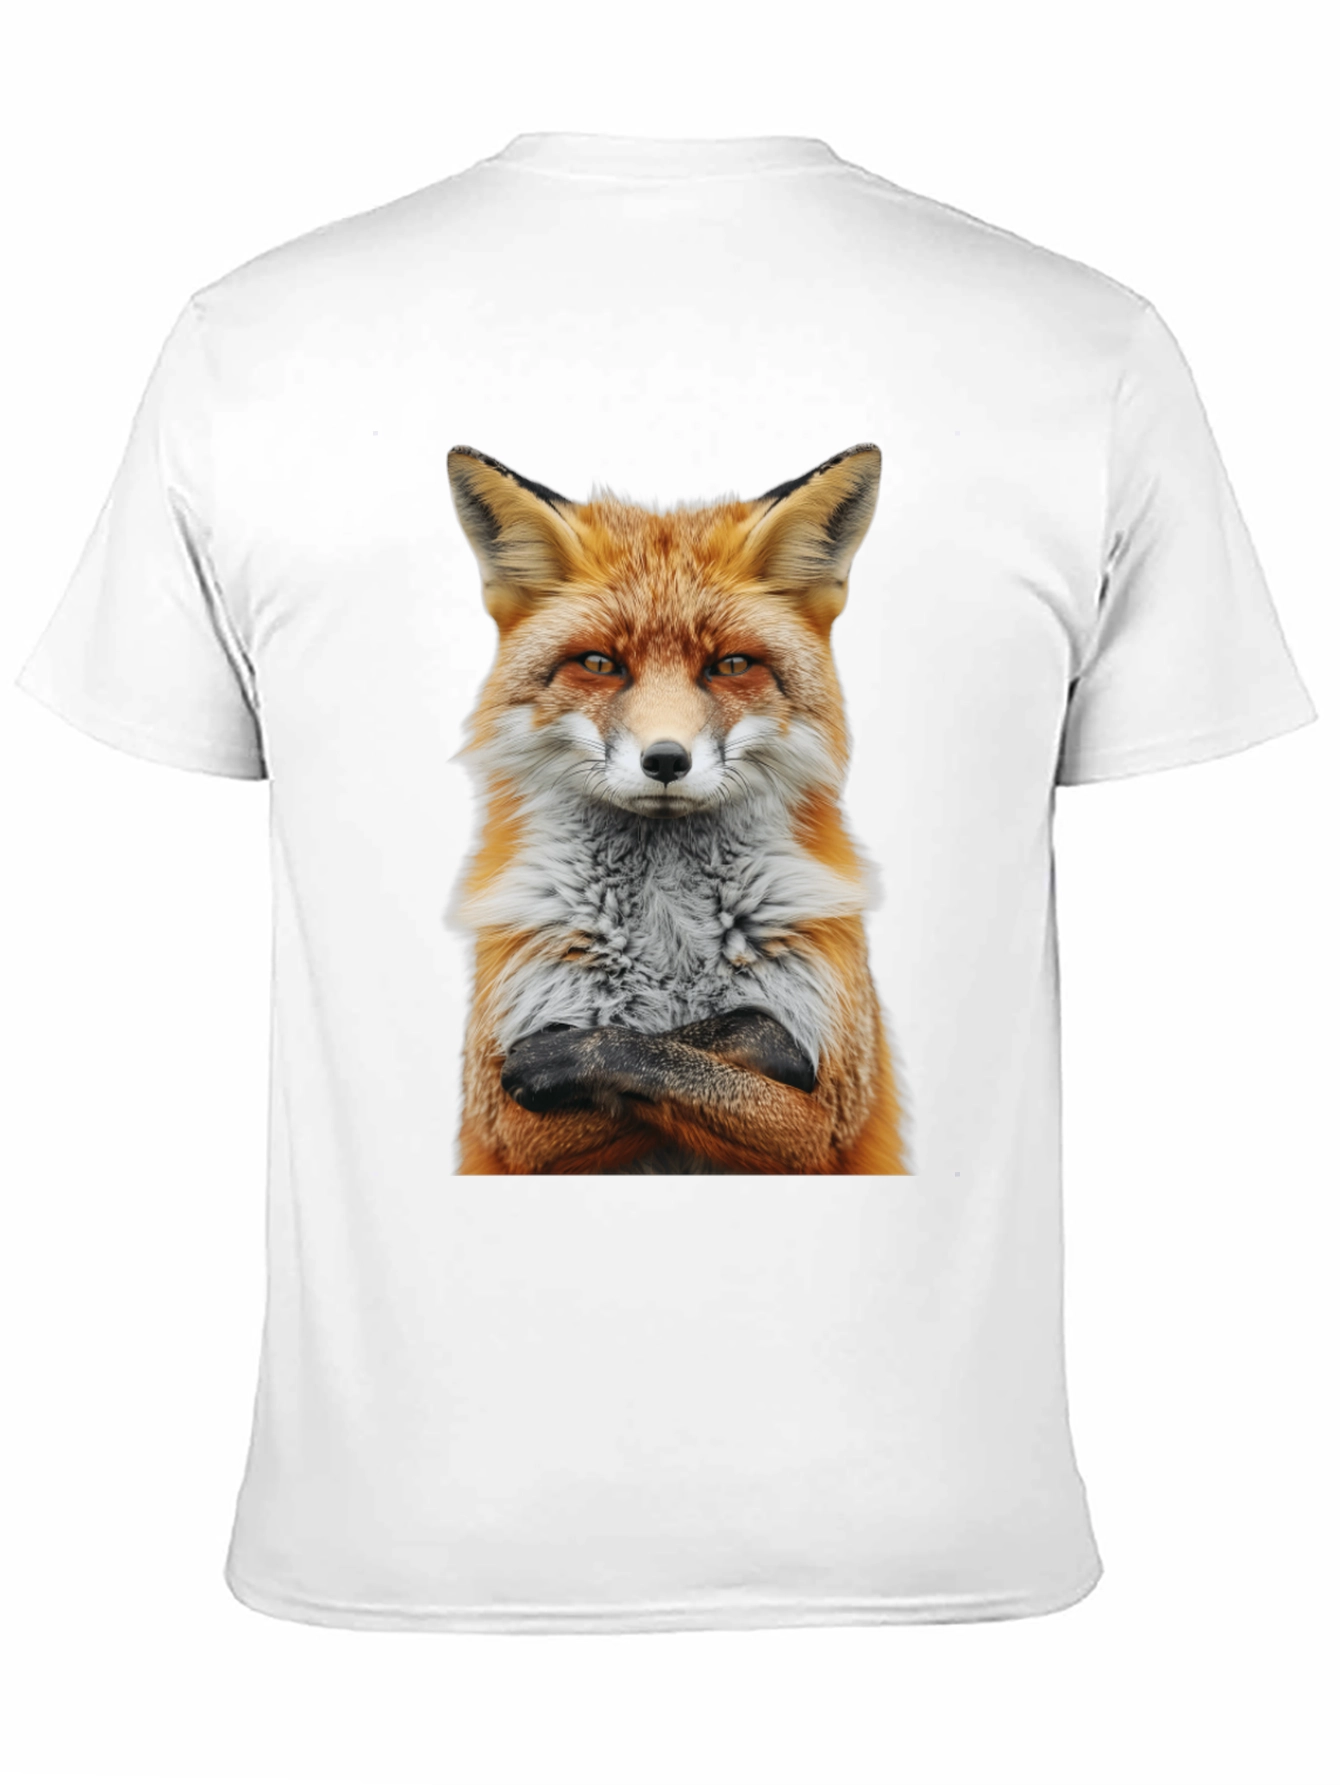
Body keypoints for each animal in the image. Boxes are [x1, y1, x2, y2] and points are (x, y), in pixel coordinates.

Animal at [445, 442, 911, 1175]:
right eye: (600, 663)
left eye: (731, 665)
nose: (666, 760)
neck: (668, 933)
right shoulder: (508, 1126)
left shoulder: (829, 1117)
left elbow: (692, 1050)